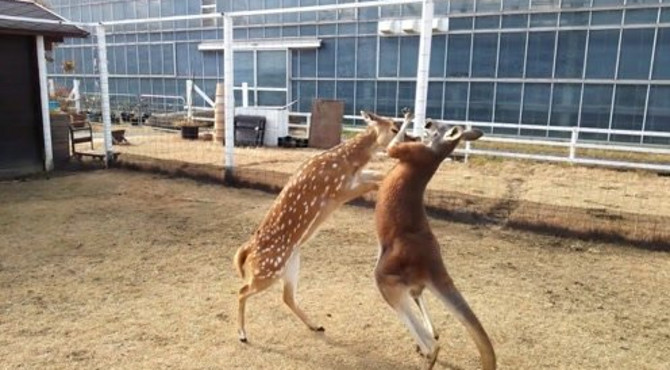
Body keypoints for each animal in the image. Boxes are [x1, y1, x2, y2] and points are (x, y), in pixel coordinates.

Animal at [234, 111, 412, 342]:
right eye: (394, 128)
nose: (413, 139)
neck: (349, 162)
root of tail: (247, 250)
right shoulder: (339, 190)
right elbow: (374, 183)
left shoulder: (356, 177)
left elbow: (379, 176)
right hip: (268, 270)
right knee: (242, 290)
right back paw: (242, 334)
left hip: (290, 265)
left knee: (286, 296)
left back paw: (315, 325)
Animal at [376, 119, 496, 370]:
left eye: (440, 126)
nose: (429, 121)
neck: (435, 153)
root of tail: (433, 263)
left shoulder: (413, 153)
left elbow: (393, 149)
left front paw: (406, 118)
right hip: (402, 270)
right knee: (416, 292)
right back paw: (431, 339)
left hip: (389, 266)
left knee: (398, 296)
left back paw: (430, 349)